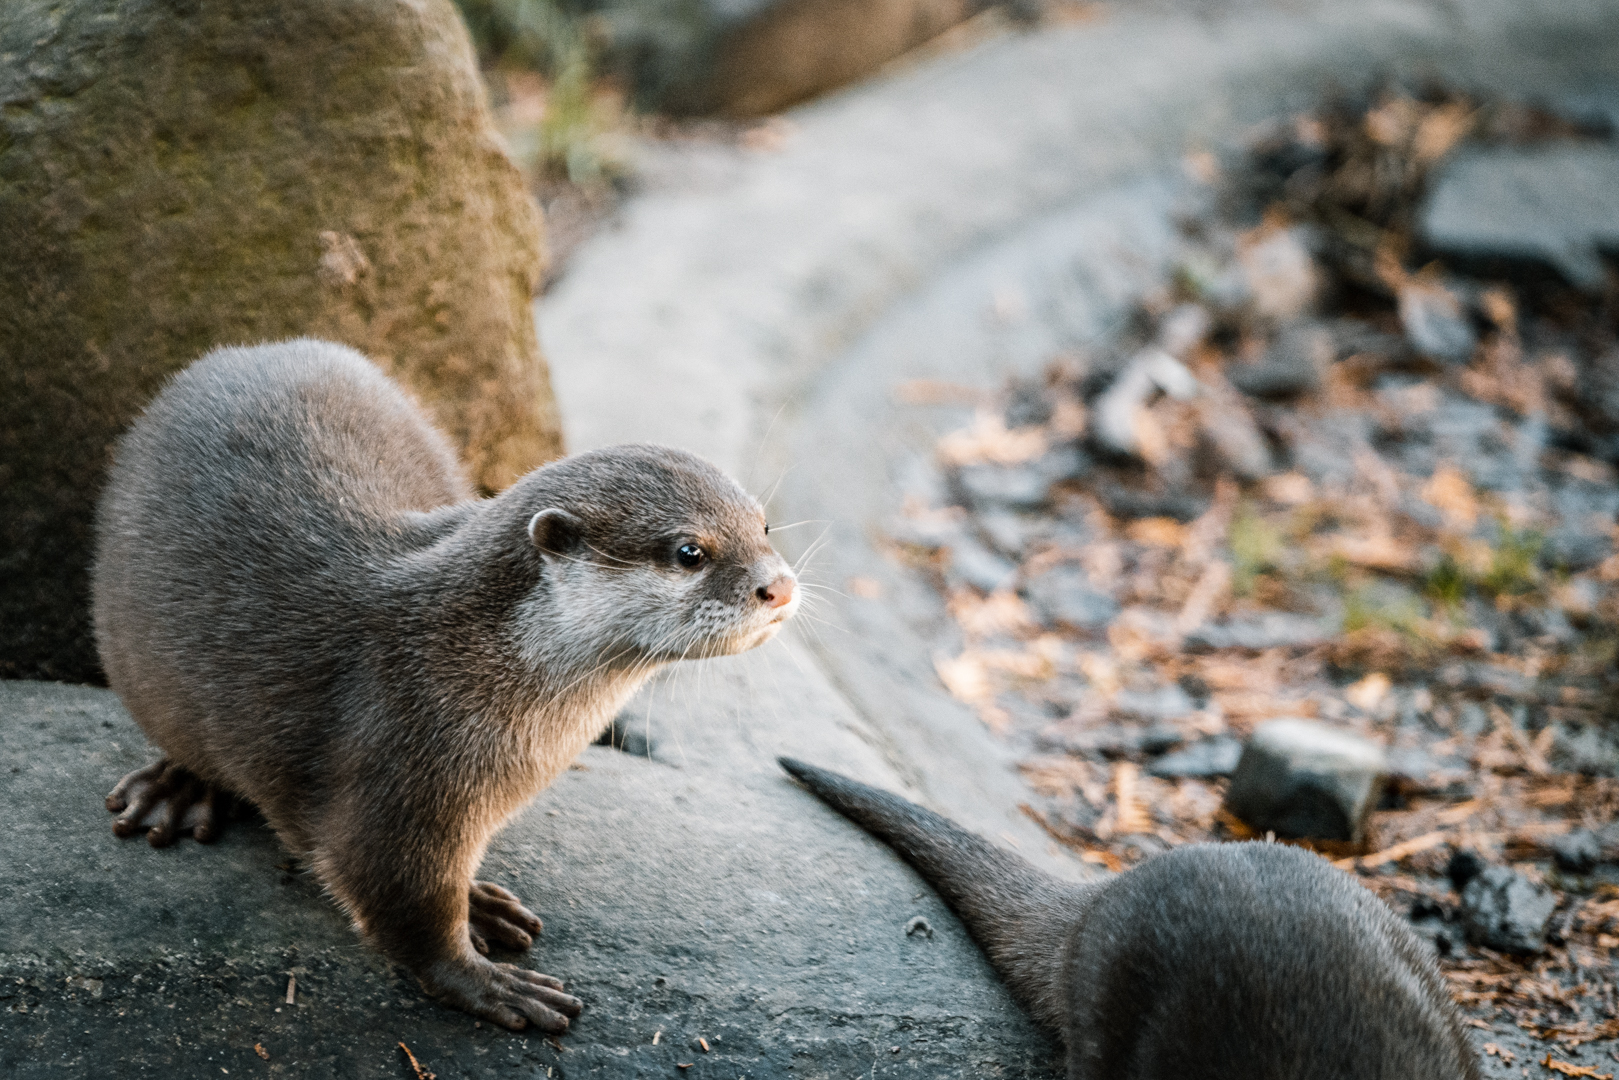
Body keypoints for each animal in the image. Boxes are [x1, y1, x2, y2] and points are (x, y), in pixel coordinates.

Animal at [91, 338, 799, 1033]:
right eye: (690, 552)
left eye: (763, 526)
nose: (781, 586)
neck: (460, 659)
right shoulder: (397, 759)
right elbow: (396, 896)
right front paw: (487, 982)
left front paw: (479, 903)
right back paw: (179, 789)